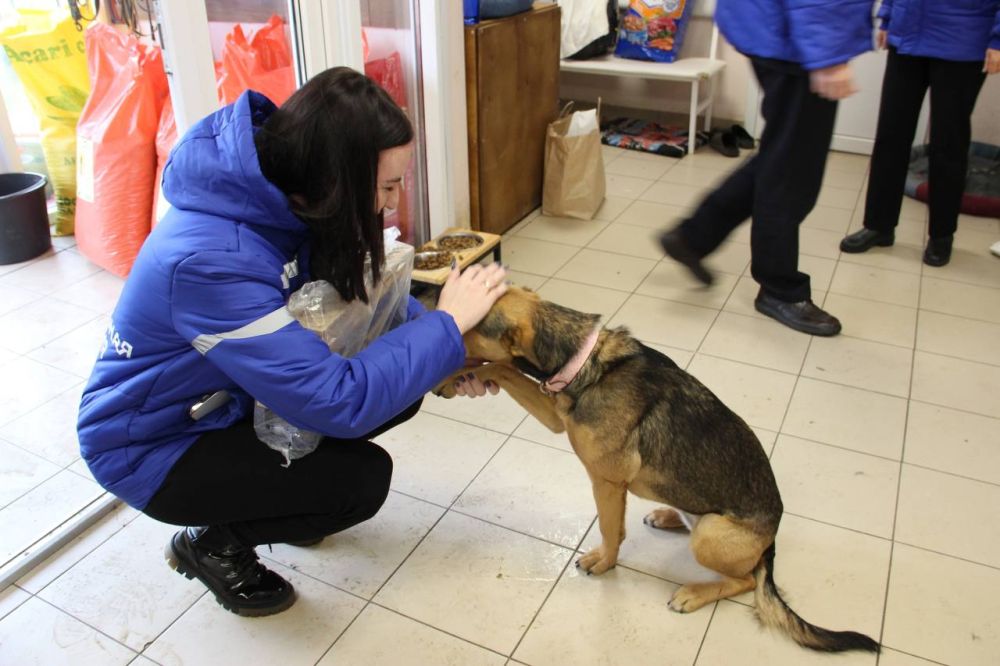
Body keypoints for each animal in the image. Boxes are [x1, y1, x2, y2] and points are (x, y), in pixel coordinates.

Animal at [438, 286, 876, 652]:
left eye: (469, 323)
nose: (438, 322)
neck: (581, 357)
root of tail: (772, 541)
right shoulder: (557, 416)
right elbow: (502, 368)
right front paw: (453, 376)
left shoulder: (607, 481)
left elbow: (610, 530)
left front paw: (604, 562)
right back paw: (668, 516)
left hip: (711, 536)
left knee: (746, 580)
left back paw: (695, 593)